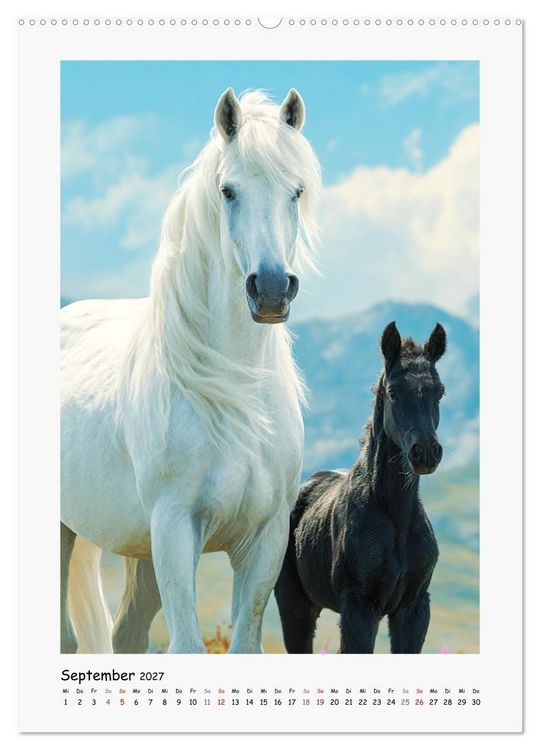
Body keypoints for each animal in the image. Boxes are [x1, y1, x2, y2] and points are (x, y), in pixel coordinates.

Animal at [60, 88, 321, 654]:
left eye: (296, 191)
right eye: (228, 191)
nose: (271, 289)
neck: (233, 391)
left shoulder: (264, 540)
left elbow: (245, 643)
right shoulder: (175, 530)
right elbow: (186, 645)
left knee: (126, 635)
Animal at [274, 321, 446, 654]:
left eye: (440, 391)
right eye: (393, 393)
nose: (426, 453)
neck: (395, 516)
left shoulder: (414, 608)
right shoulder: (359, 606)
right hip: (295, 605)